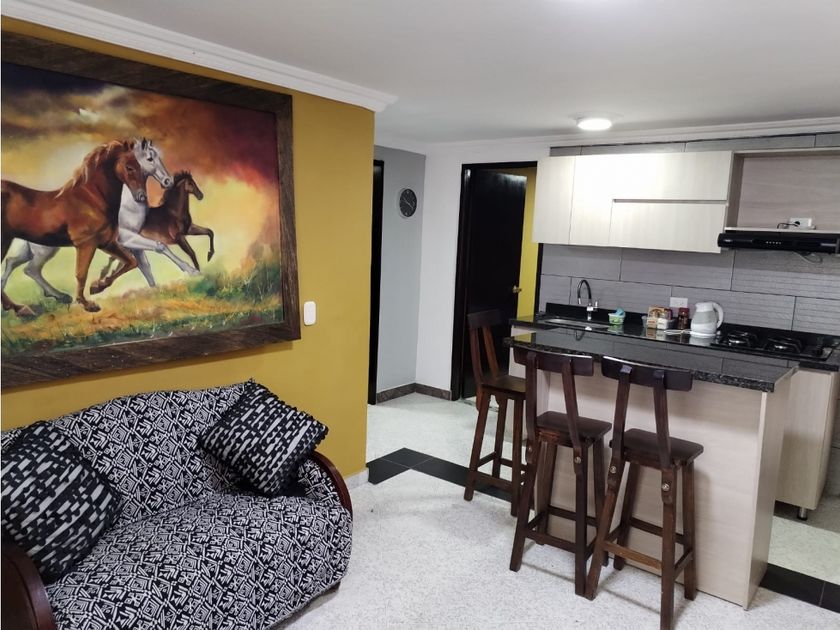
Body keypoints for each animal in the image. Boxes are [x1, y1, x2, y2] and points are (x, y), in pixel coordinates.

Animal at [1, 139, 172, 305]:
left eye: (140, 166)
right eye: (130, 167)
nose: (141, 196)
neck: (92, 199)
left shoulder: (107, 243)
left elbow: (132, 262)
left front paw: (98, 286)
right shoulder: (88, 243)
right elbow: (81, 273)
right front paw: (86, 303)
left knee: (18, 264)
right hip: (35, 247)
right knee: (30, 268)